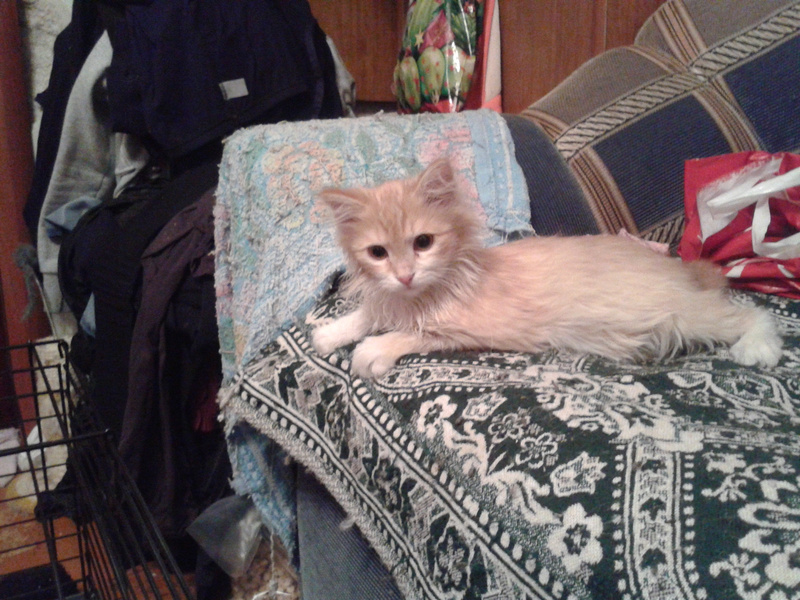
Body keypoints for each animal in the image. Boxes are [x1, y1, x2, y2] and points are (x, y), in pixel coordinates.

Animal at [312, 158, 783, 379]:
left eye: (423, 243)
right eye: (378, 253)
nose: (405, 274)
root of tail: (680, 271)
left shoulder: (464, 330)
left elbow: (409, 334)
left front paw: (371, 351)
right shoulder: (389, 300)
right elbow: (368, 314)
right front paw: (330, 333)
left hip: (686, 314)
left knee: (748, 313)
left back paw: (759, 348)